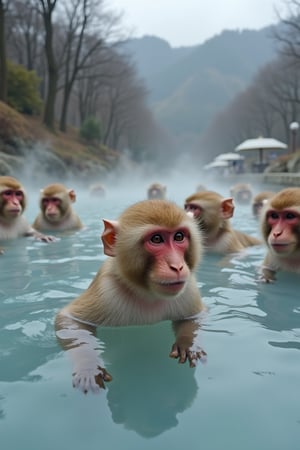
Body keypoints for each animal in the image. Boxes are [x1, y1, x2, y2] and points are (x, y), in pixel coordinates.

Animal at [55, 200, 206, 394]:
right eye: (156, 239)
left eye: (179, 237)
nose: (177, 266)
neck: (147, 293)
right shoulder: (106, 290)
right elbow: (69, 320)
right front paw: (89, 366)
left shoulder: (188, 288)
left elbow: (195, 317)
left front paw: (189, 343)